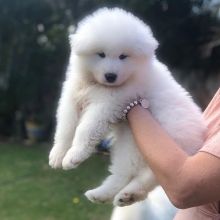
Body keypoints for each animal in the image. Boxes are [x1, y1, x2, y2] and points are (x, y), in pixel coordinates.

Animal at [49, 6, 205, 206]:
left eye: (123, 56)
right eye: (101, 54)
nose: (110, 76)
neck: (99, 85)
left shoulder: (108, 104)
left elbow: (85, 128)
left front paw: (73, 156)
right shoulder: (71, 97)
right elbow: (66, 126)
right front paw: (58, 154)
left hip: (157, 147)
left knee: (150, 176)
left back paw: (126, 194)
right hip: (131, 145)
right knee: (126, 174)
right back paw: (109, 195)